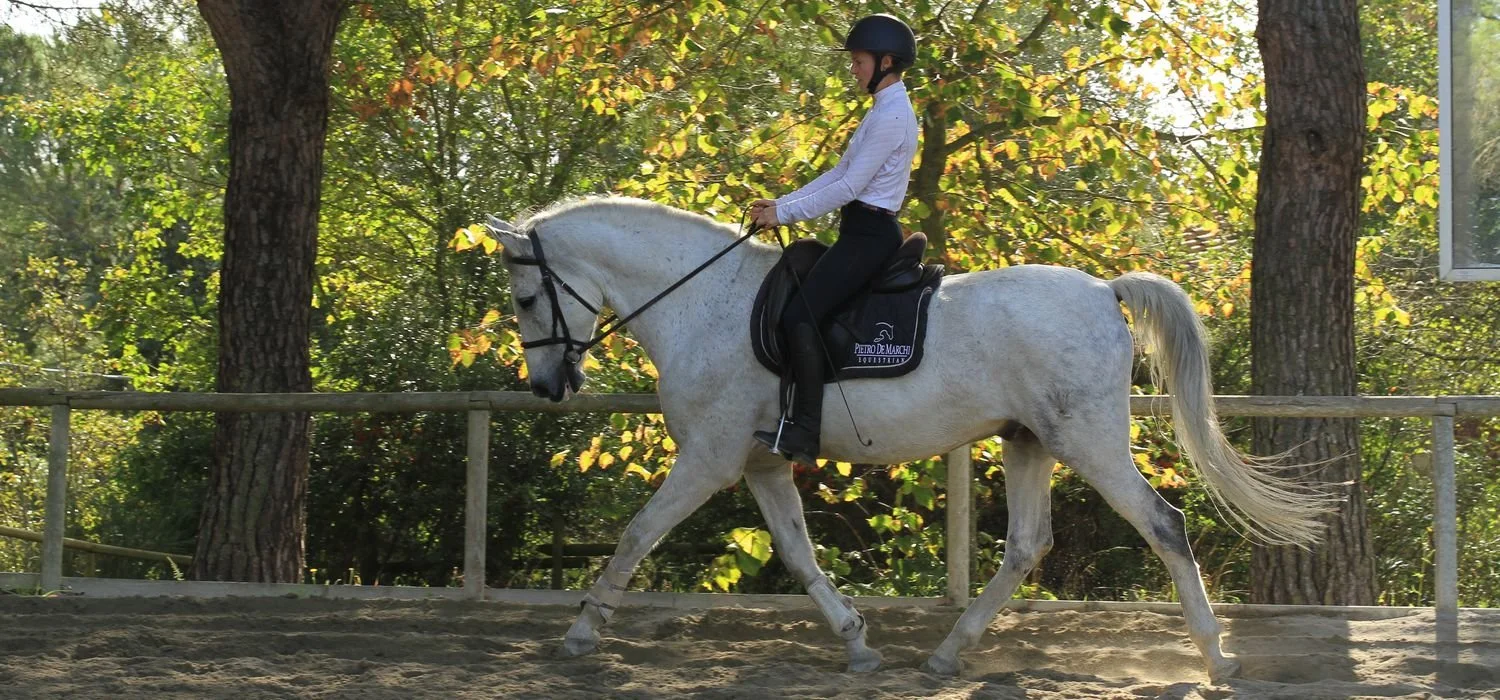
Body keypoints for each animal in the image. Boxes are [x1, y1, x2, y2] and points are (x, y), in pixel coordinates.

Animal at [481, 196, 1329, 682]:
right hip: (1028, 442)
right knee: (1027, 545)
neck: (703, 302)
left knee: (1164, 525)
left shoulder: (708, 461)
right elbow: (799, 556)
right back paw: (949, 653)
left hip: (1089, 443)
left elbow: (636, 534)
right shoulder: (761, 464)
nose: (549, 386)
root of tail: (1105, 290)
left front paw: (581, 633)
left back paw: (1216, 656)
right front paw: (857, 644)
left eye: (525, 297)